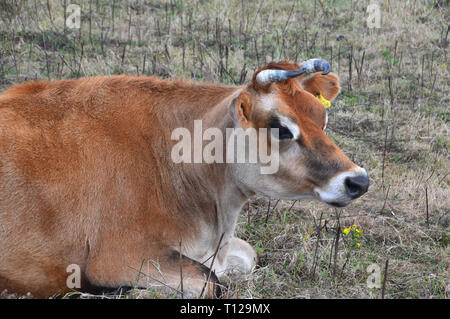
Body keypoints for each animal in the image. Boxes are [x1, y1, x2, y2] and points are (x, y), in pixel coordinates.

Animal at [0, 60, 368, 300]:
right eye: (280, 128)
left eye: (322, 118)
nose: (358, 181)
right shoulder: (117, 256)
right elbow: (209, 282)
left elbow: (247, 256)